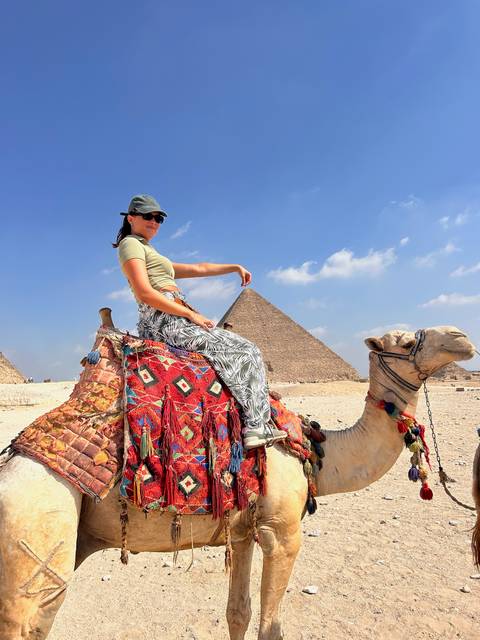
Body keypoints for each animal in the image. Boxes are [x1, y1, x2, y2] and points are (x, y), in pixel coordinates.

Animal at [0, 325, 475, 640]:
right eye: (408, 342)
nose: (462, 338)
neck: (315, 454)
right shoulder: (283, 532)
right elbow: (271, 627)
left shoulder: (244, 531)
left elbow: (238, 614)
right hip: (37, 540)